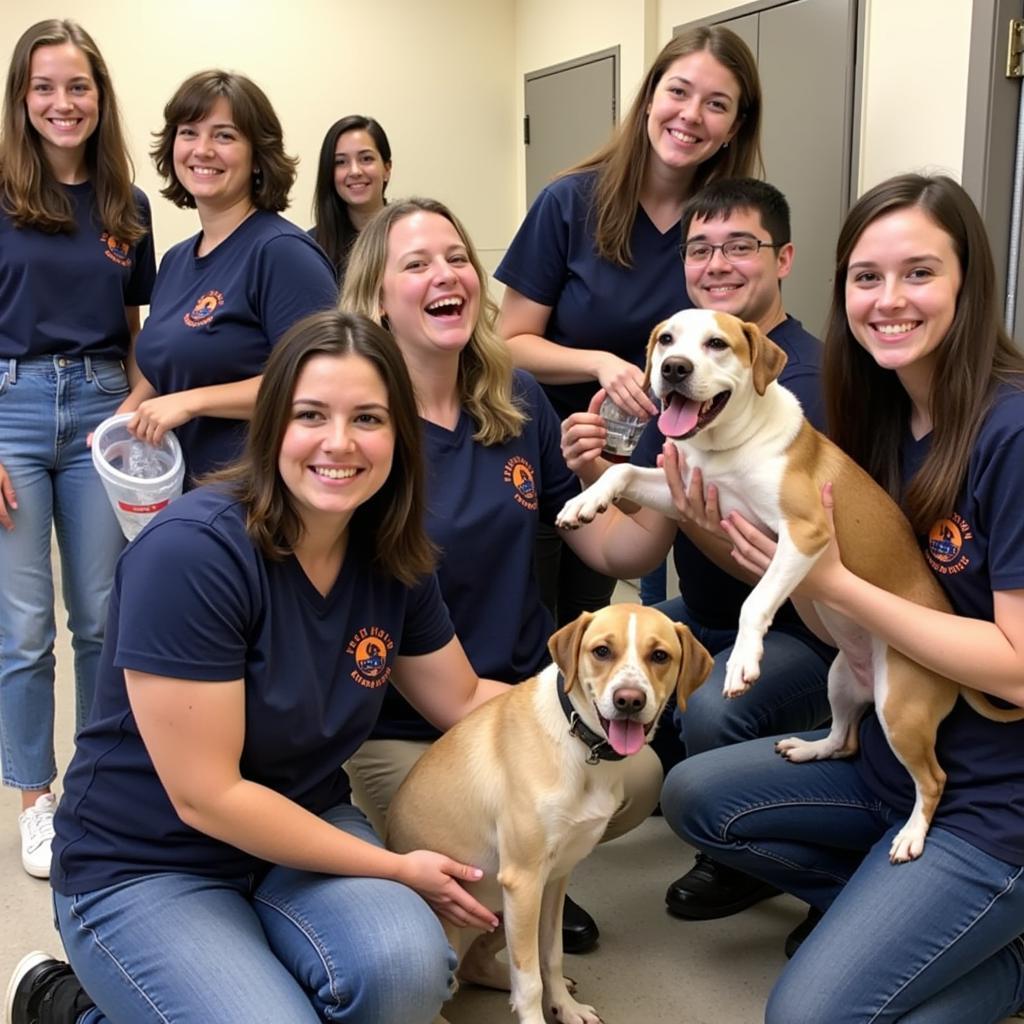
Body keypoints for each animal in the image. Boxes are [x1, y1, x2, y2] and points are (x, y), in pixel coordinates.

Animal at [385, 602, 712, 1024]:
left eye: (659, 656)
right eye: (602, 651)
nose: (629, 700)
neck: (583, 749)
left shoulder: (554, 880)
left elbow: (551, 956)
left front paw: (565, 1007)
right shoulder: (523, 880)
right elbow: (529, 982)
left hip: (500, 909)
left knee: (474, 966)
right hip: (470, 919)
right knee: (451, 985)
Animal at [561, 305, 1024, 864]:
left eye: (716, 344)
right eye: (667, 339)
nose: (672, 368)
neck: (724, 447)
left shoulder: (804, 534)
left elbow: (755, 601)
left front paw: (742, 660)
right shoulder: (681, 493)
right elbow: (624, 472)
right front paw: (584, 501)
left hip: (901, 711)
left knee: (933, 779)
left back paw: (911, 835)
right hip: (841, 679)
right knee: (845, 739)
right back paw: (808, 747)